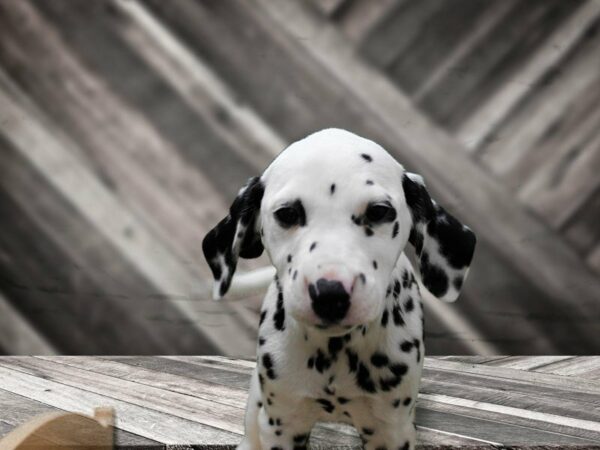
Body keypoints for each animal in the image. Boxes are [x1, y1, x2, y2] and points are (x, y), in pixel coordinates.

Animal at [204, 128, 476, 448]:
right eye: (287, 214)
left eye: (379, 211)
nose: (330, 294)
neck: (336, 351)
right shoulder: (282, 423)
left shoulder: (391, 431)